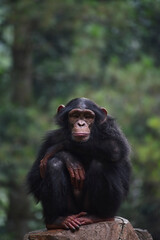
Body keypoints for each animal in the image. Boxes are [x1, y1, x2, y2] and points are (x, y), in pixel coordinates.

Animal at [26, 97, 131, 231]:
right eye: (75, 115)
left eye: (88, 116)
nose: (81, 124)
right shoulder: (52, 138)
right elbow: (35, 180)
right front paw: (69, 158)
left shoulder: (111, 129)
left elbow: (115, 147)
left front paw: (61, 147)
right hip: (72, 210)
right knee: (54, 165)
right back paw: (57, 220)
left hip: (90, 208)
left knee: (100, 164)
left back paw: (99, 216)